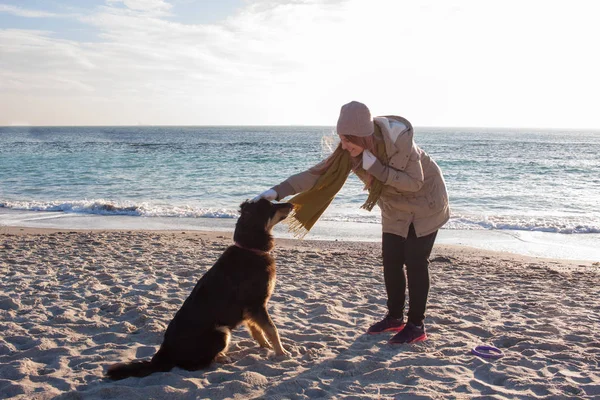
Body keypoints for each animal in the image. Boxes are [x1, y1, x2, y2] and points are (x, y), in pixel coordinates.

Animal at [109, 198, 296, 380]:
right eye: (272, 205)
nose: (292, 204)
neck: (250, 248)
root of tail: (163, 355)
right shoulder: (257, 304)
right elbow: (272, 329)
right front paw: (281, 352)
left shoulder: (251, 309)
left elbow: (257, 330)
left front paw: (266, 346)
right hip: (221, 332)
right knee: (196, 364)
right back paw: (222, 357)